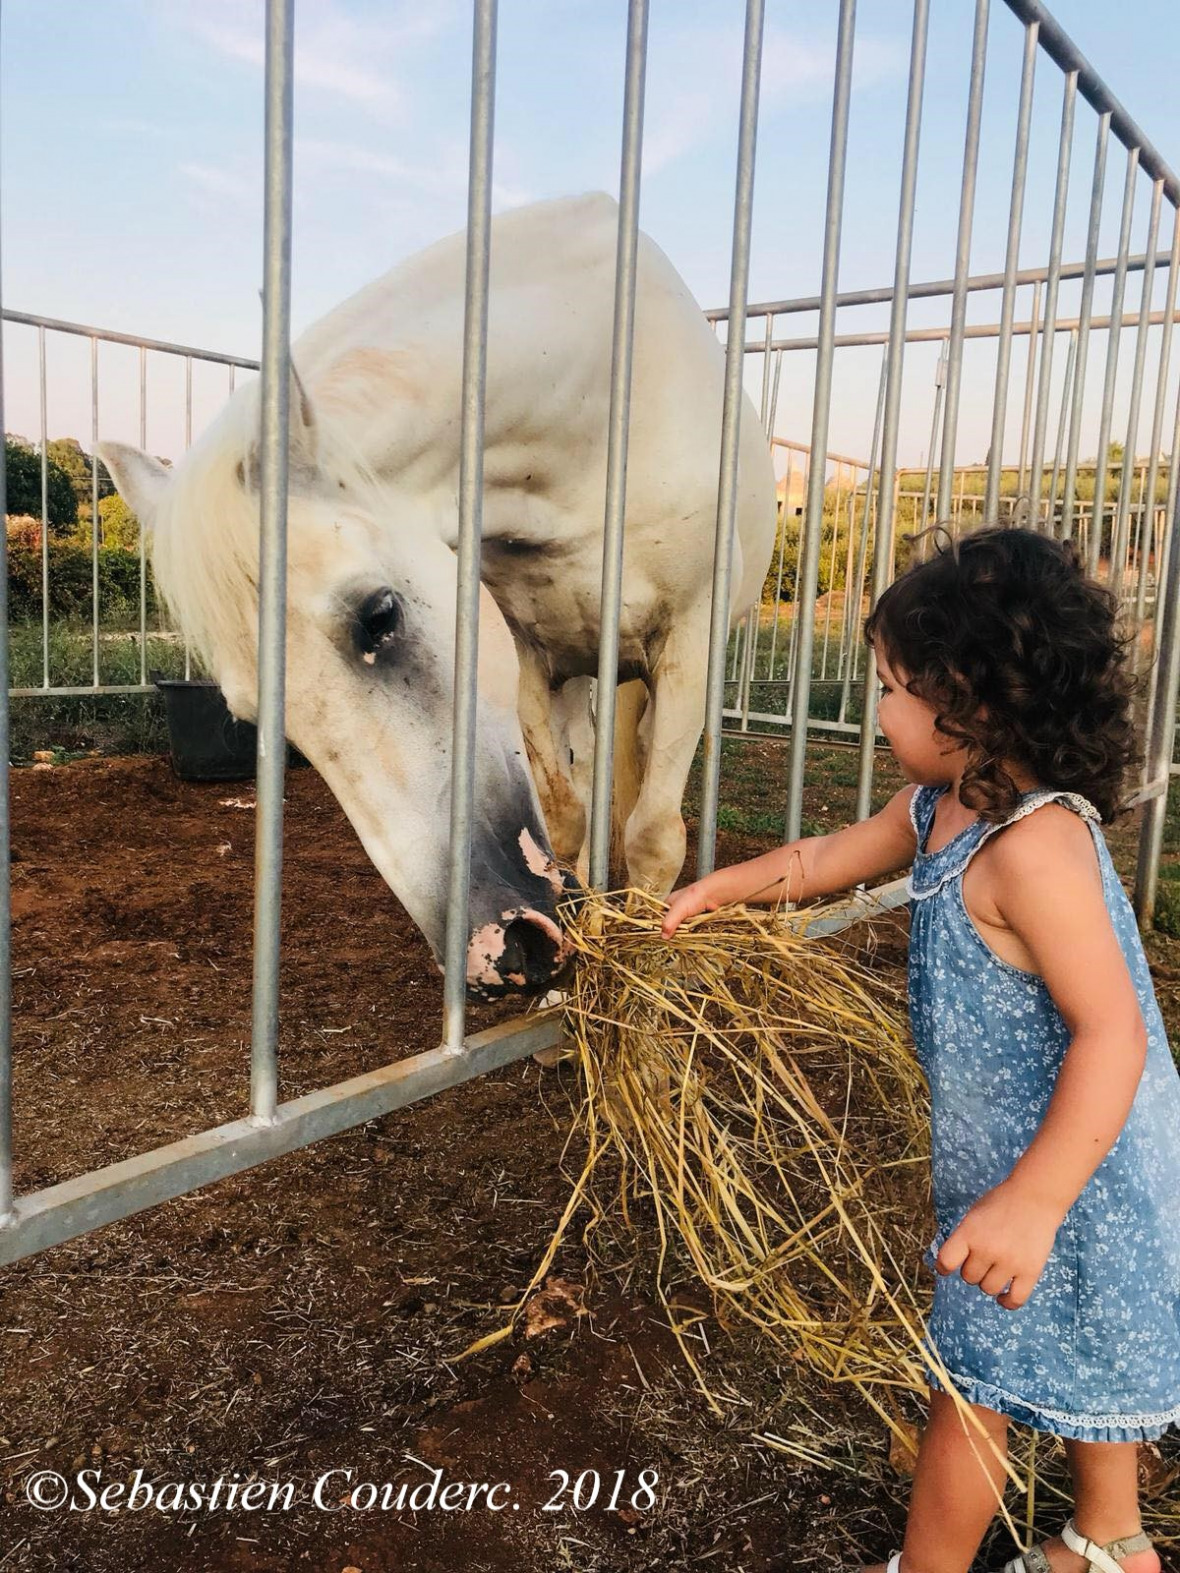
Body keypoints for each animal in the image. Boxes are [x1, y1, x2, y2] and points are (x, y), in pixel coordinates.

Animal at [101, 193, 780, 994]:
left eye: (379, 615)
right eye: (251, 715)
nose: (503, 951)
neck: (603, 415)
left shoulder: (688, 641)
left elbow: (652, 835)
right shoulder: (537, 655)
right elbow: (567, 812)